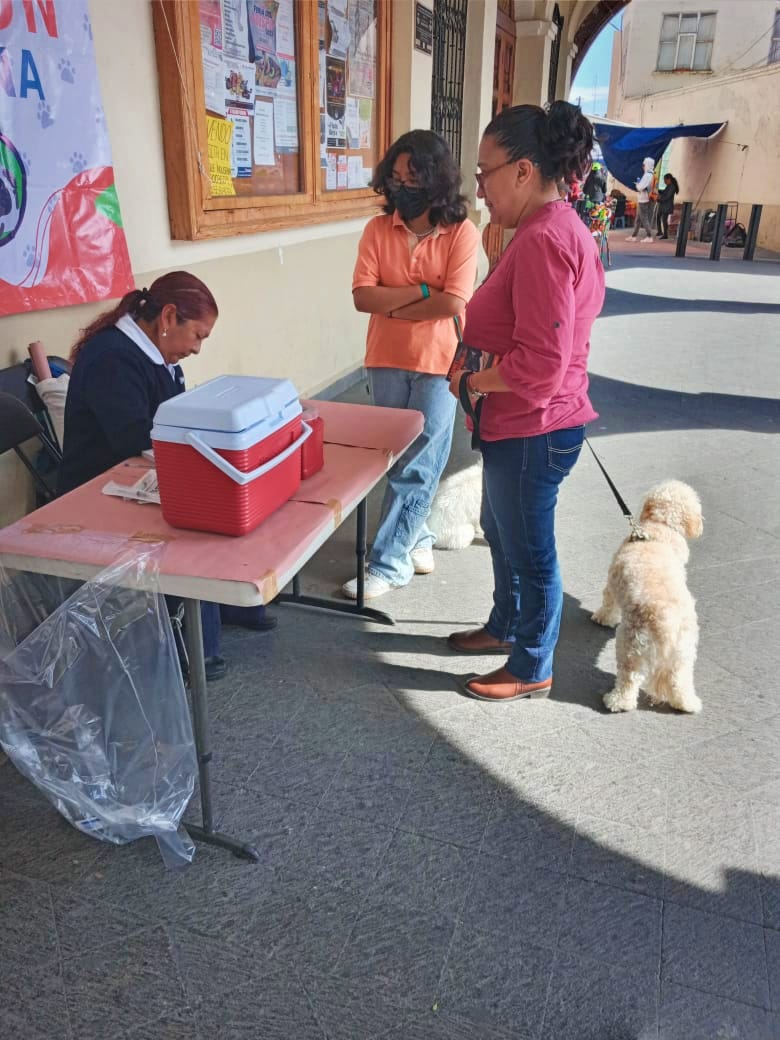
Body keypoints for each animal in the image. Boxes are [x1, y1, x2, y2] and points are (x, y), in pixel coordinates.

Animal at [590, 478, 707, 715]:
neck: (661, 528)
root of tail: (668, 623)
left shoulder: (612, 583)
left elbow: (608, 602)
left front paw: (602, 618)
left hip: (631, 644)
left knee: (629, 678)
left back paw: (616, 701)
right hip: (684, 650)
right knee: (680, 679)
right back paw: (687, 703)